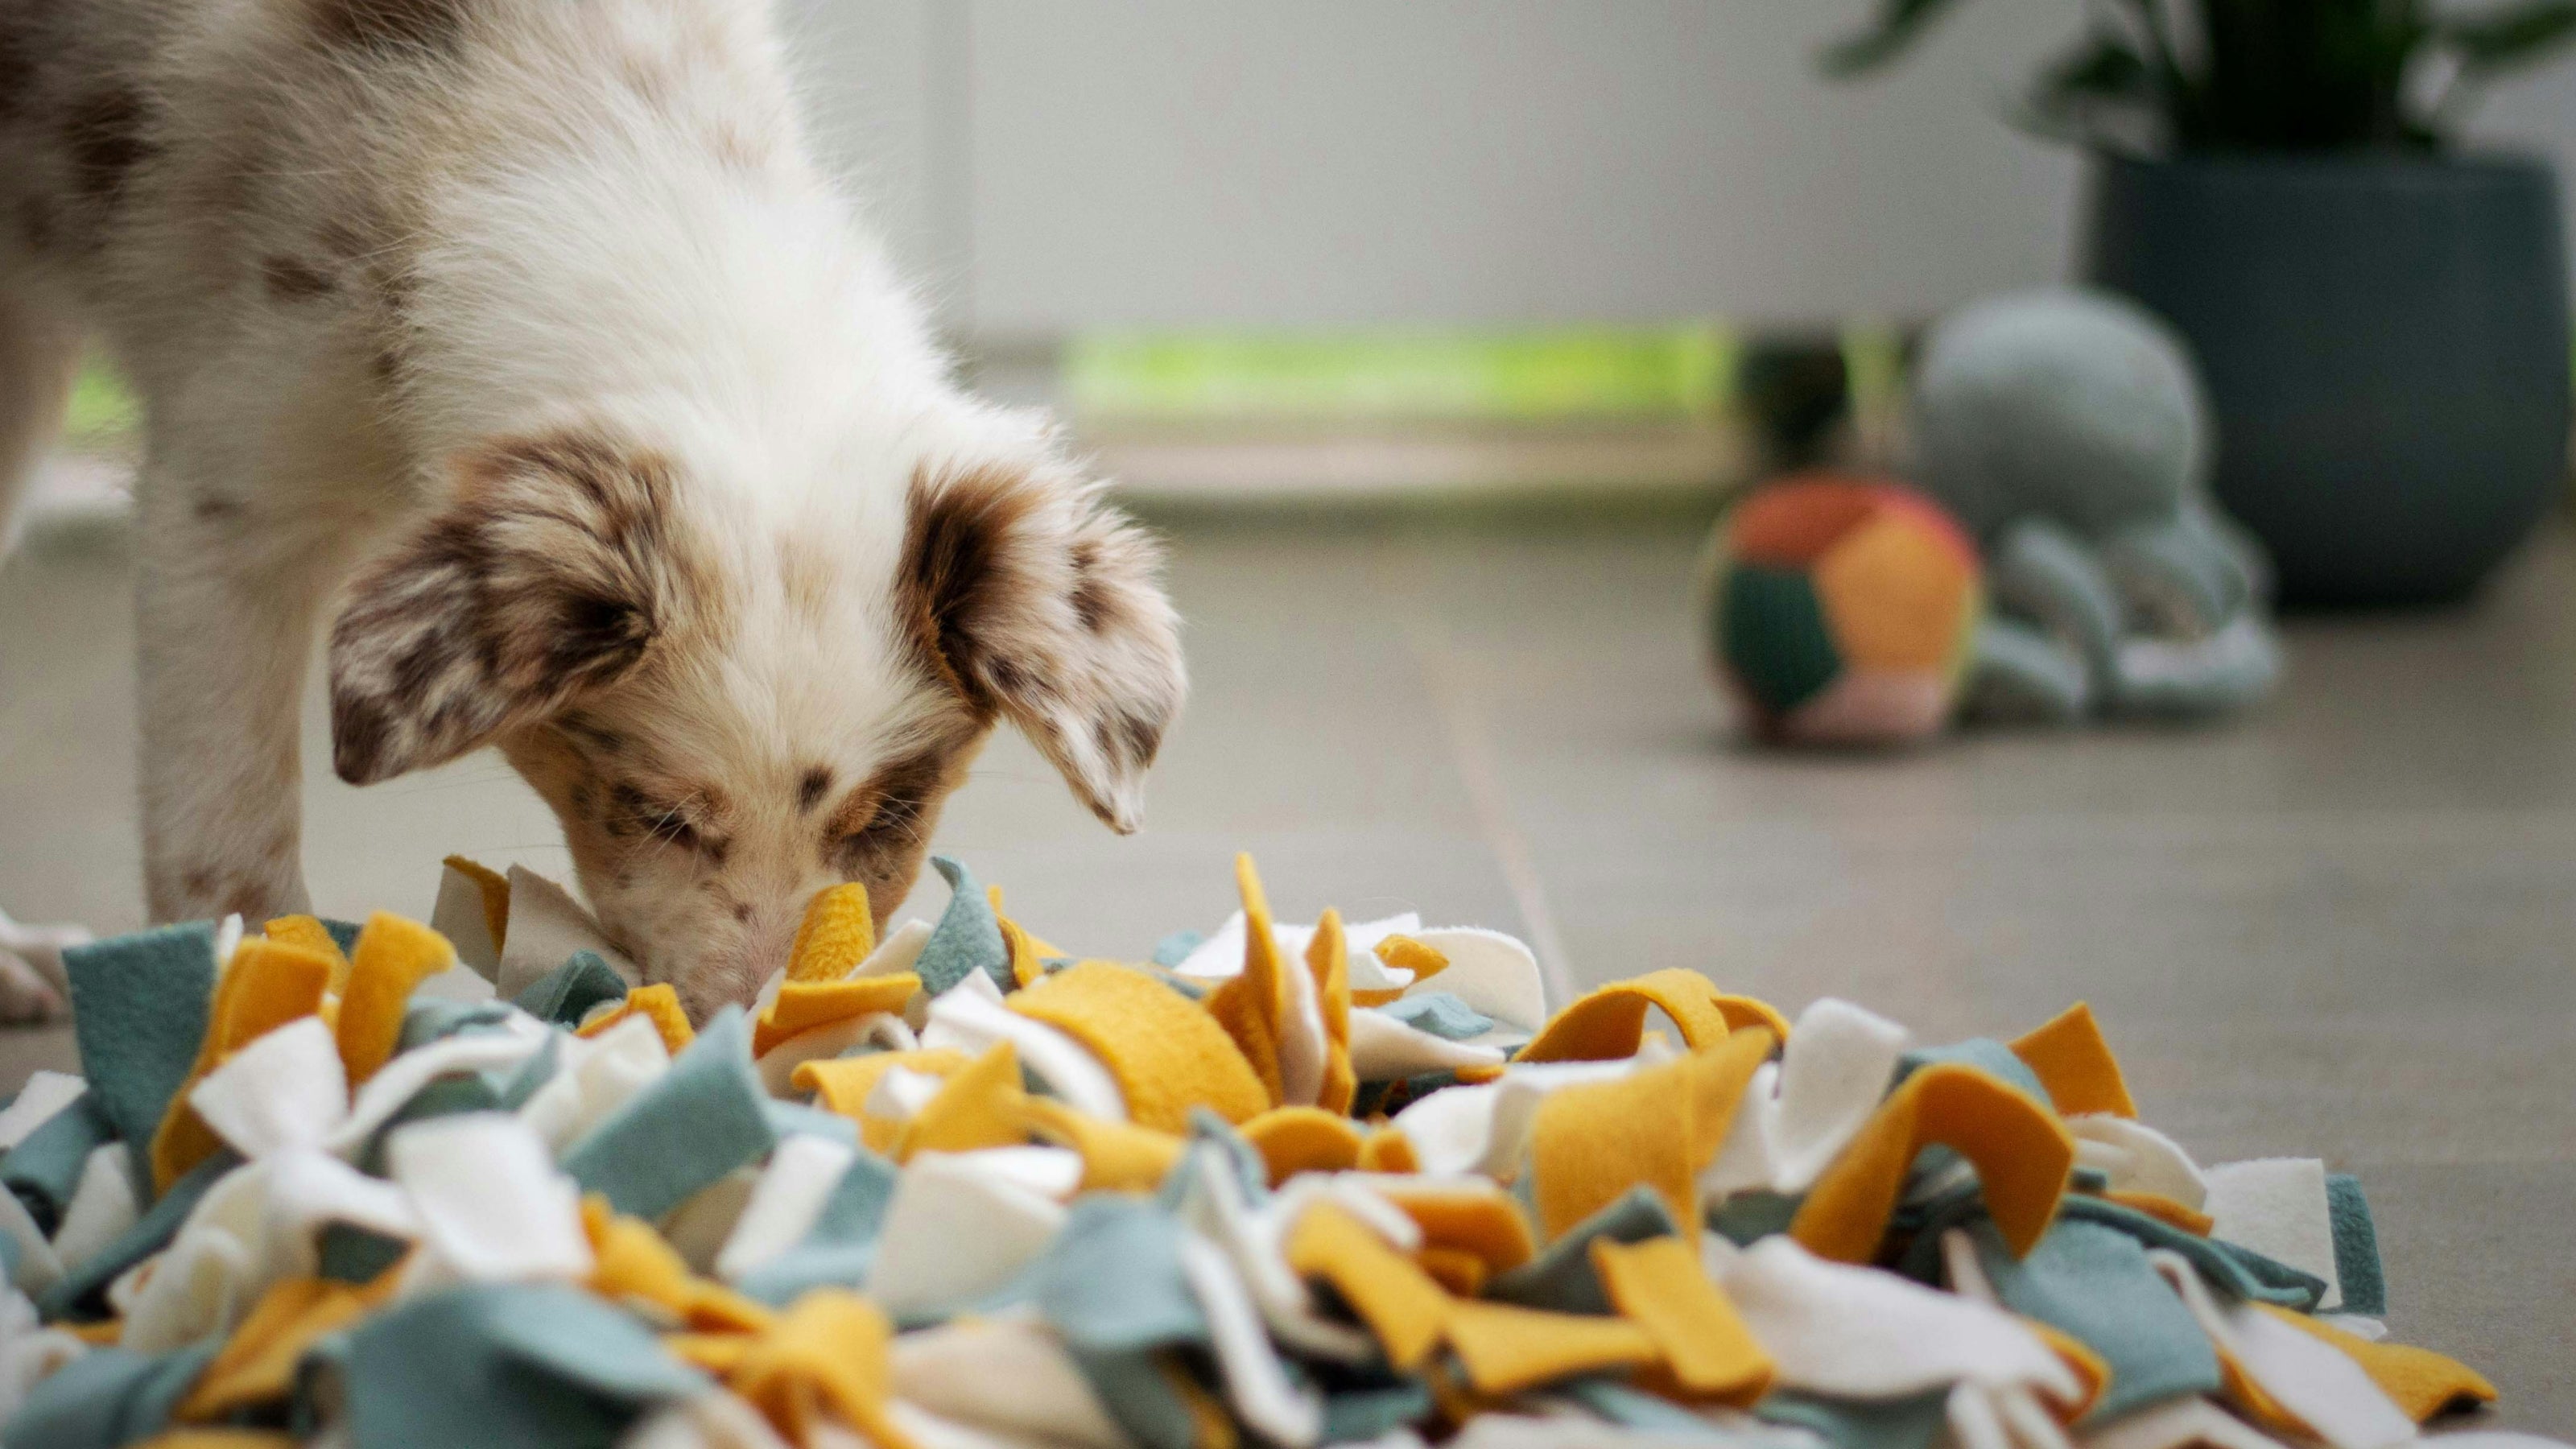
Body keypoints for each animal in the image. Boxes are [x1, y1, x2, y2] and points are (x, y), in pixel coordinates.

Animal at [0, 0, 1185, 1021]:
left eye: (891, 817)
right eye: (657, 813)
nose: (760, 1024)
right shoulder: (231, 479)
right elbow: (227, 829)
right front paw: (269, 1023)